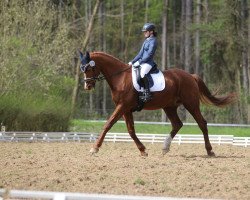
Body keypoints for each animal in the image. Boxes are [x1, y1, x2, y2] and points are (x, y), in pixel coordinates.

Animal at [78, 51, 236, 156]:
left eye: (89, 68)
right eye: (82, 68)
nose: (87, 86)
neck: (120, 78)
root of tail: (190, 76)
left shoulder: (122, 106)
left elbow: (108, 124)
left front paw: (94, 148)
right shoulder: (126, 109)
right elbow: (131, 130)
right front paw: (142, 150)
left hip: (191, 104)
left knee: (202, 123)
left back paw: (210, 151)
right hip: (169, 106)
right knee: (177, 124)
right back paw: (165, 148)